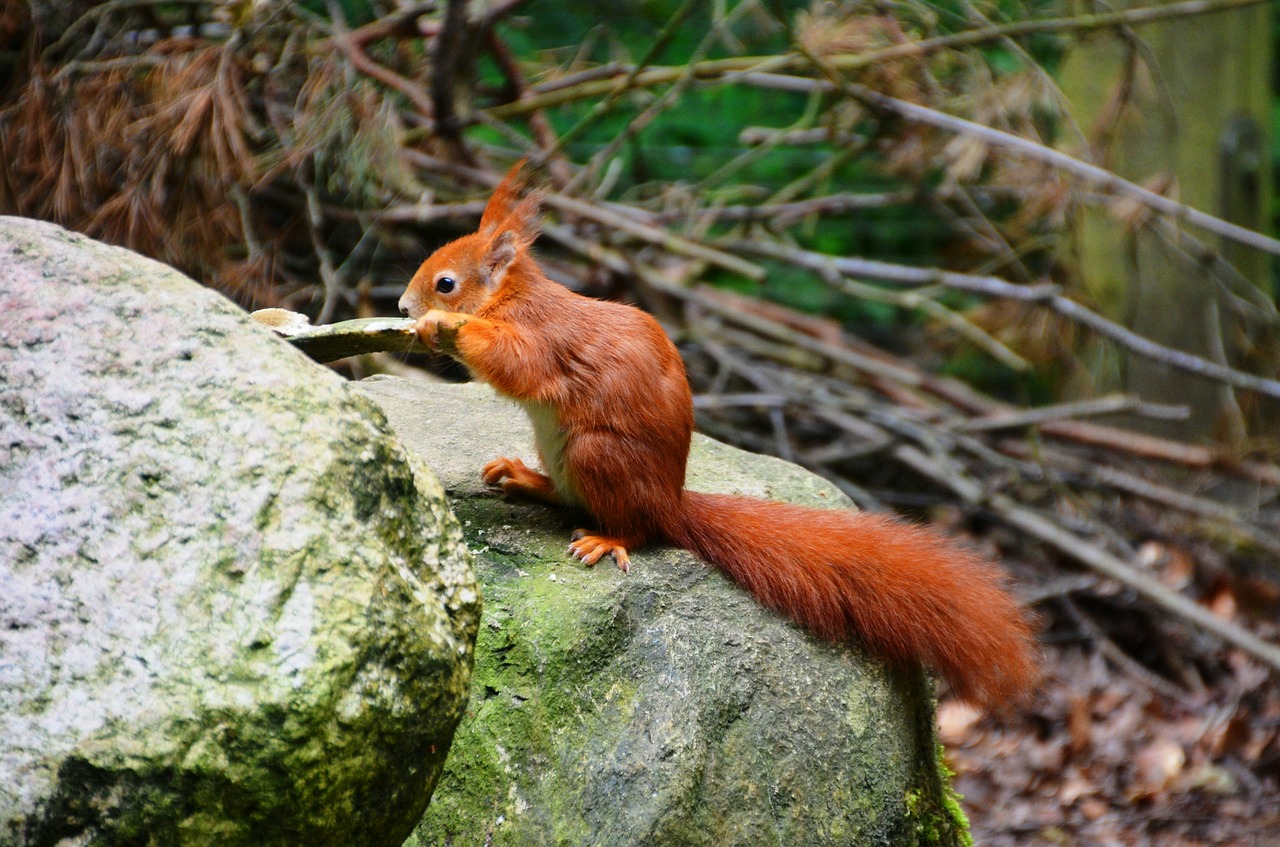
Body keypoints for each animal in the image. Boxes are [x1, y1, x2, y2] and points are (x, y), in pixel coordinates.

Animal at [399, 162, 1039, 706]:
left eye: (446, 283)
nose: (403, 304)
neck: (510, 297)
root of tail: (670, 503)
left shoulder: (542, 337)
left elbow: (516, 363)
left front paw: (444, 326)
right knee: (566, 497)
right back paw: (524, 478)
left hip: (597, 455)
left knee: (634, 528)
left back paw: (608, 539)